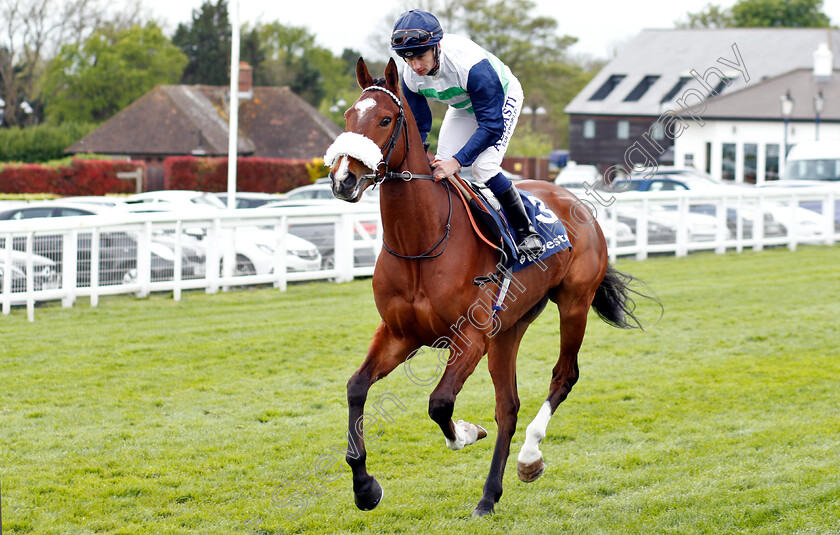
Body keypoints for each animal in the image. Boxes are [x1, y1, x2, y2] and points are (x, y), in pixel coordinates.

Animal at [324, 56, 648, 516]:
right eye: (349, 116)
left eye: (385, 119)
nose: (343, 180)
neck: (422, 243)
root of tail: (574, 201)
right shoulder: (399, 334)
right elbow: (356, 387)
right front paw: (365, 487)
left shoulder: (469, 338)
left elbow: (439, 403)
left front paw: (465, 432)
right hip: (509, 329)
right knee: (508, 407)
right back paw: (489, 495)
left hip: (574, 303)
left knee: (563, 376)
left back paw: (530, 457)